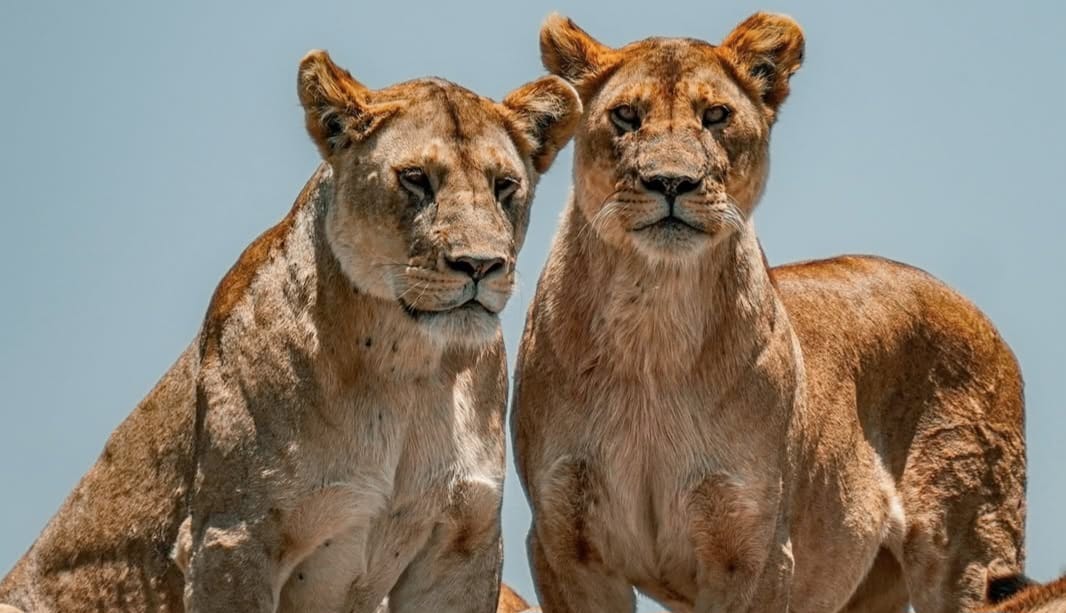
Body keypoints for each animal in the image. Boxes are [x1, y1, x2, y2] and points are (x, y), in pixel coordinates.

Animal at [0, 50, 580, 612]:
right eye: (415, 178)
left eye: (504, 185)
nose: (480, 265)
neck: (409, 369)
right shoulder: (232, 537)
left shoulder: (461, 543)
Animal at [512, 12, 1026, 613]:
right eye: (625, 115)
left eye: (715, 115)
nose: (671, 181)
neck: (653, 321)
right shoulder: (564, 542)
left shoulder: (752, 547)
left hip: (969, 552)